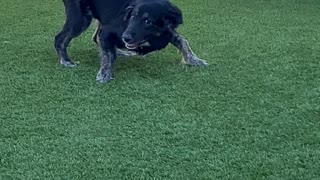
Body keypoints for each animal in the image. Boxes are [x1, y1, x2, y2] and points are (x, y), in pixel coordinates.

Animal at [54, 0, 208, 83]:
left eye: (147, 21)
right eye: (133, 16)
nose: (125, 37)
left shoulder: (167, 32)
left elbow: (183, 41)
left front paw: (194, 60)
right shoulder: (108, 31)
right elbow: (108, 54)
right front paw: (104, 73)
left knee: (95, 37)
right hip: (80, 20)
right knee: (59, 39)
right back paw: (66, 60)